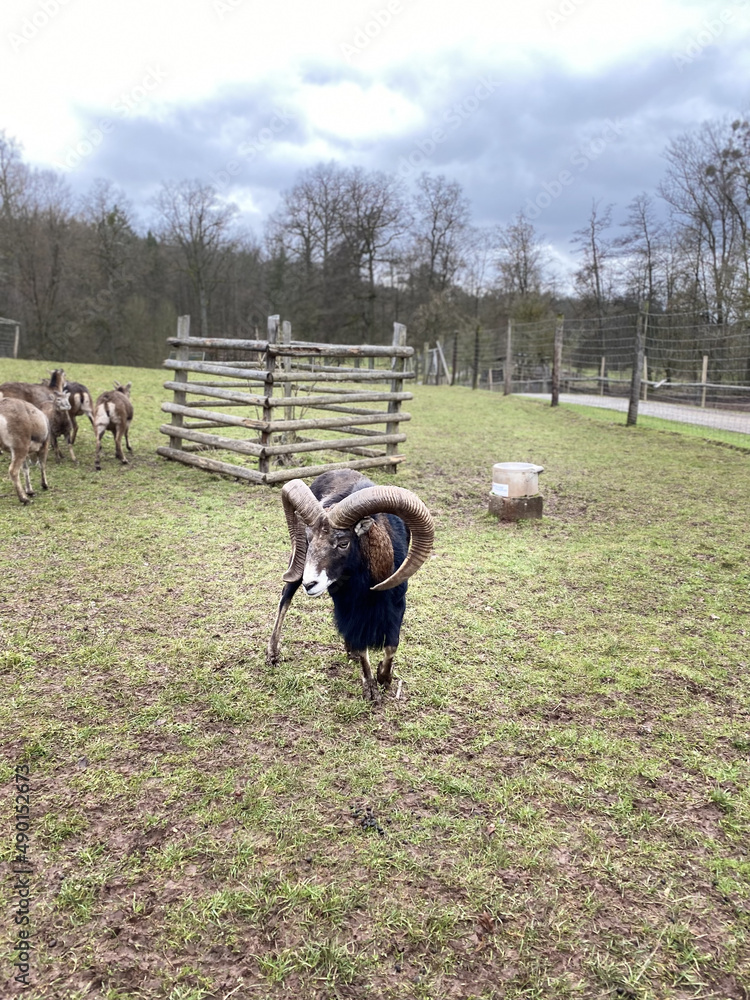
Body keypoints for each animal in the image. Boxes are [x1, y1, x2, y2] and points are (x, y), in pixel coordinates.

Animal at [268, 470, 434, 700]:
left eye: (343, 543)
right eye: (308, 540)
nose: (310, 584)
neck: (369, 591)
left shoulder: (397, 605)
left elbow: (391, 646)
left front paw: (385, 677)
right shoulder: (351, 610)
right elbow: (362, 645)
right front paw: (371, 689)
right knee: (285, 598)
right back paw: (273, 654)